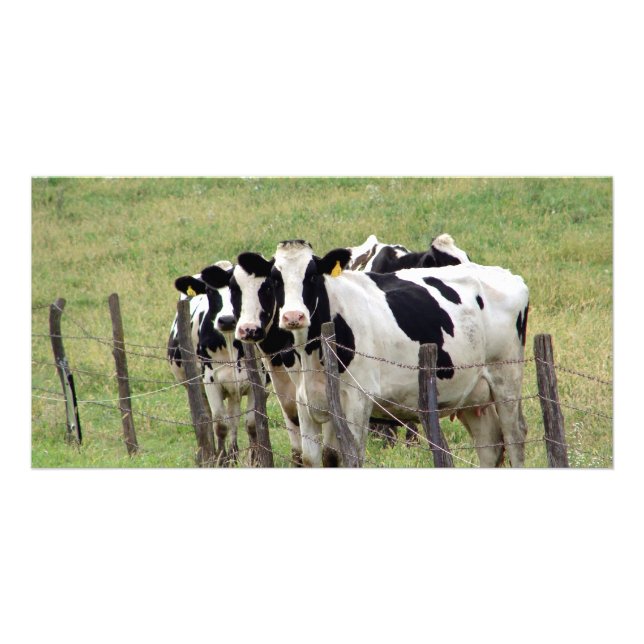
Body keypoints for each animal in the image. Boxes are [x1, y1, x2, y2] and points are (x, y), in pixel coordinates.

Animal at [168, 260, 255, 464]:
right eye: (209, 291)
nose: (227, 320)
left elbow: (251, 424)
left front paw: (256, 459)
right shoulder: (210, 380)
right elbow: (220, 425)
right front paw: (221, 460)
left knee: (233, 417)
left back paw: (233, 455)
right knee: (205, 418)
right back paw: (208, 455)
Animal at [233, 240, 529, 468]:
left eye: (312, 276)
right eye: (274, 279)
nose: (294, 316)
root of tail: (508, 275)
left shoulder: (357, 401)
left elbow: (350, 458)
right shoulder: (306, 405)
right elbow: (312, 460)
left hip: (507, 380)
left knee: (515, 437)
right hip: (471, 394)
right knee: (490, 445)